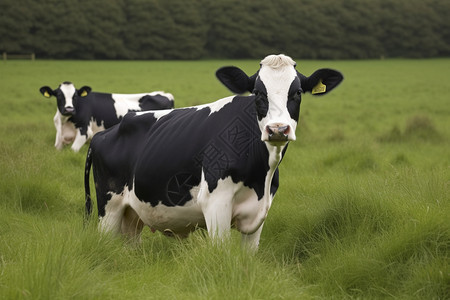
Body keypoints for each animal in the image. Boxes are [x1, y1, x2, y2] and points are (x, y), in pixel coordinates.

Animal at [39, 82, 175, 151]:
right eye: (58, 95)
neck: (64, 123)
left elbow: (73, 150)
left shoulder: (85, 131)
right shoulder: (60, 137)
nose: (69, 109)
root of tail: (164, 93)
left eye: (75, 96)